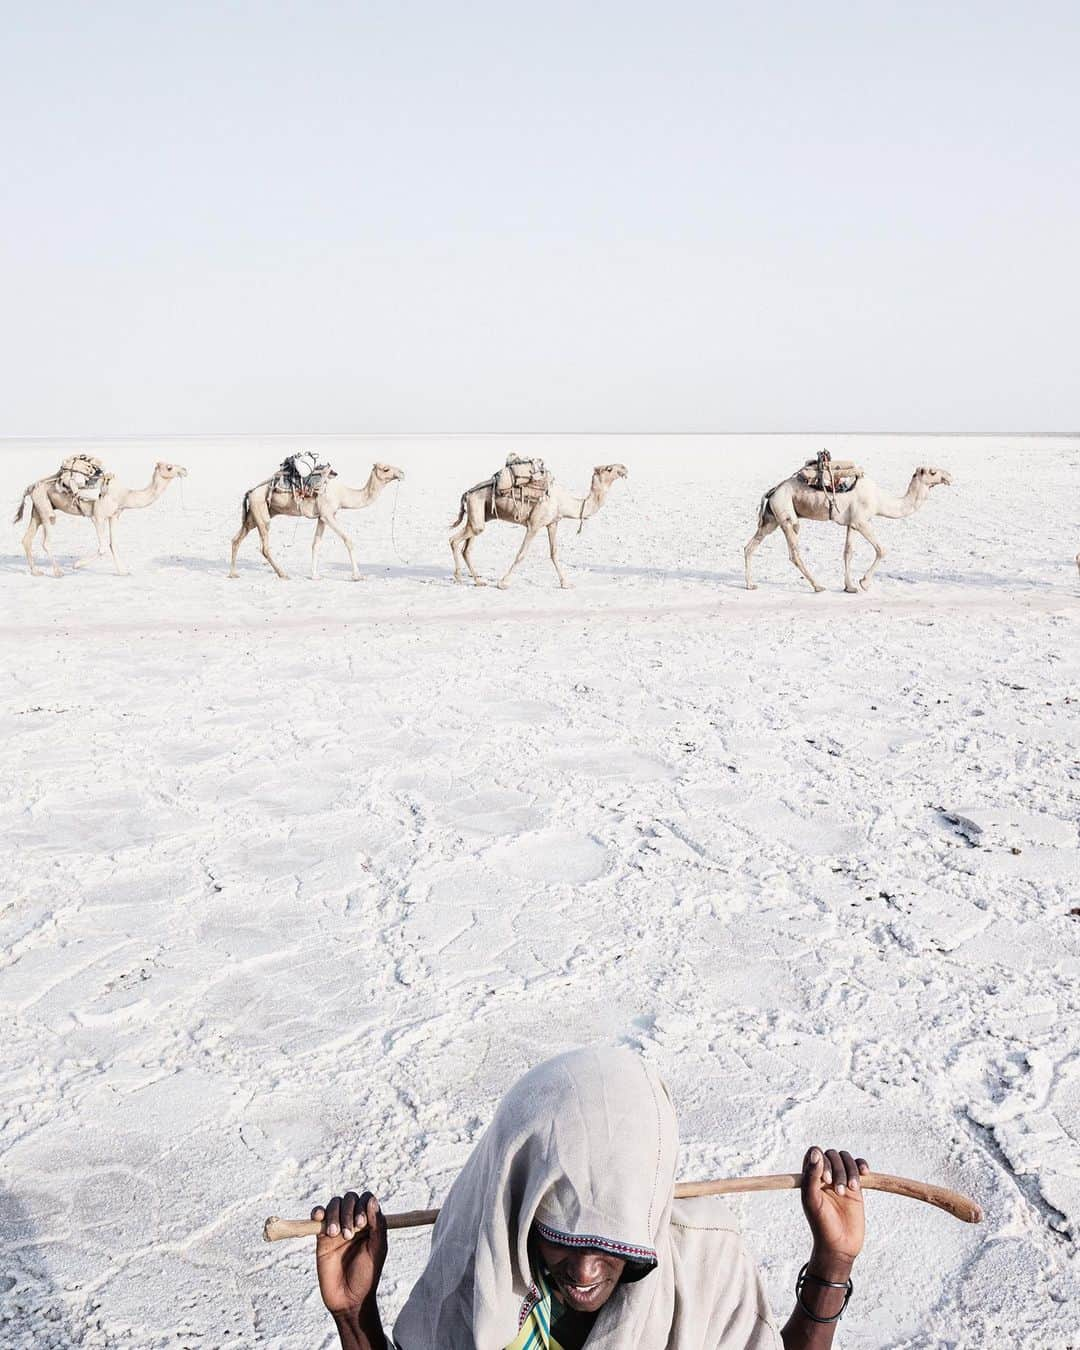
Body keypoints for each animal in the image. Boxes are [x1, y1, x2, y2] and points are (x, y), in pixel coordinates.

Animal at [16, 461, 190, 577]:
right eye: (169, 467)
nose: (185, 470)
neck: (125, 495)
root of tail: (31, 486)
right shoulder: (98, 516)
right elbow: (102, 548)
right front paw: (76, 565)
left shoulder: (114, 516)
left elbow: (113, 544)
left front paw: (123, 571)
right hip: (45, 507)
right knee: (46, 540)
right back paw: (58, 572)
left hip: (38, 509)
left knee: (27, 539)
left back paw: (36, 571)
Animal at [229, 461, 407, 577]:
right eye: (386, 469)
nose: (402, 473)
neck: (343, 495)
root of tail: (250, 491)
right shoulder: (328, 515)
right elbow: (348, 540)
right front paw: (357, 576)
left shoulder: (322, 517)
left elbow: (315, 544)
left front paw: (314, 575)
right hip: (261, 512)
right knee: (264, 547)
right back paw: (283, 574)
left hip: (255, 514)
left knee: (236, 539)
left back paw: (233, 574)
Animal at [448, 464, 629, 585]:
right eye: (609, 469)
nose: (624, 468)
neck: (564, 502)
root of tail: (467, 493)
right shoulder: (534, 525)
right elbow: (521, 554)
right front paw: (503, 583)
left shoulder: (553, 523)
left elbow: (554, 553)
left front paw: (566, 583)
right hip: (477, 509)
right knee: (454, 540)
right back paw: (458, 577)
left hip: (480, 515)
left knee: (467, 548)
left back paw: (478, 581)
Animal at [745, 464, 955, 591]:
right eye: (933, 472)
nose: (950, 477)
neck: (880, 500)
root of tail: (772, 491)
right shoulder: (862, 521)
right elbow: (882, 550)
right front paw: (864, 583)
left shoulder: (852, 524)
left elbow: (848, 552)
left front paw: (850, 587)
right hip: (787, 516)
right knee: (794, 553)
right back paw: (818, 586)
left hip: (771, 519)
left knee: (750, 546)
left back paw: (750, 585)